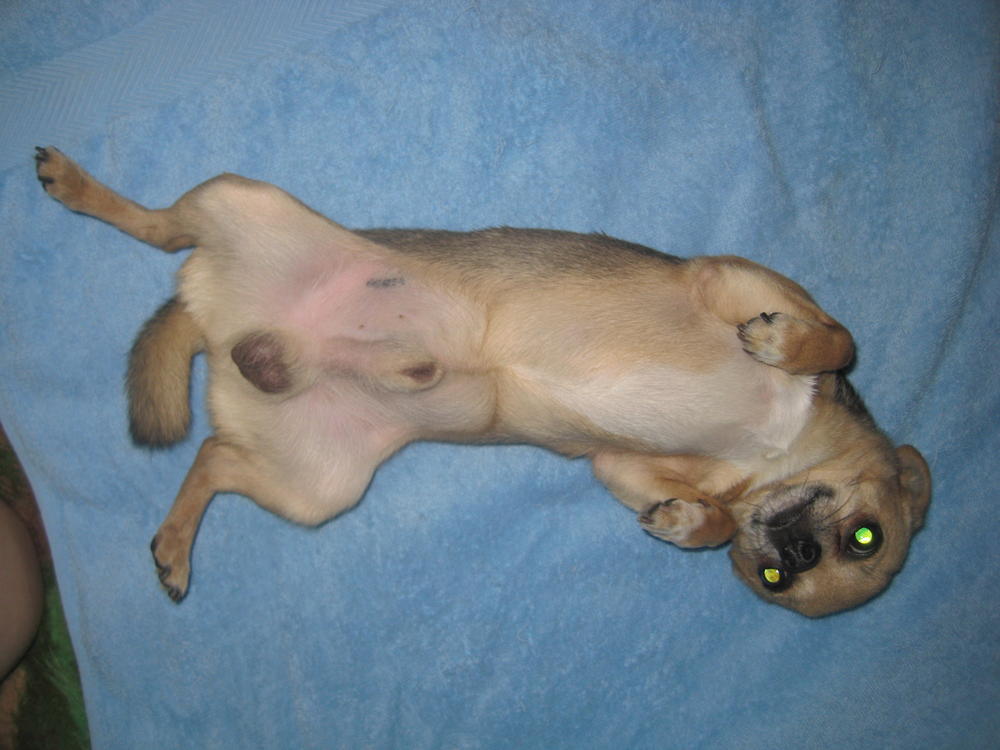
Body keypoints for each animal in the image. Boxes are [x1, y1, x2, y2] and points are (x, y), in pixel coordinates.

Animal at [34, 147, 930, 616]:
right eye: (866, 536)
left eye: (775, 580)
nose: (794, 548)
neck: (776, 450)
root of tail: (219, 328)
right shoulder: (733, 281)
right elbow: (836, 338)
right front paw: (785, 344)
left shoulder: (623, 468)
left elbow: (702, 511)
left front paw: (686, 522)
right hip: (242, 198)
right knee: (155, 227)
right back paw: (74, 184)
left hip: (320, 487)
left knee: (215, 456)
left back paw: (175, 548)